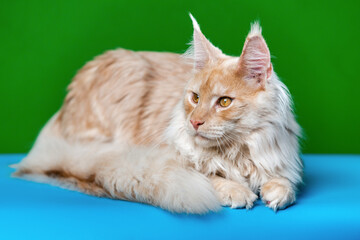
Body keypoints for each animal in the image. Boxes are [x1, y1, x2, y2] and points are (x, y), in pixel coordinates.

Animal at [12, 15, 302, 214]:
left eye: (224, 102)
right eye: (195, 98)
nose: (194, 122)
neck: (237, 152)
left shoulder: (282, 159)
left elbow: (284, 183)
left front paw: (275, 192)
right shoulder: (172, 158)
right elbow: (210, 177)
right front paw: (237, 191)